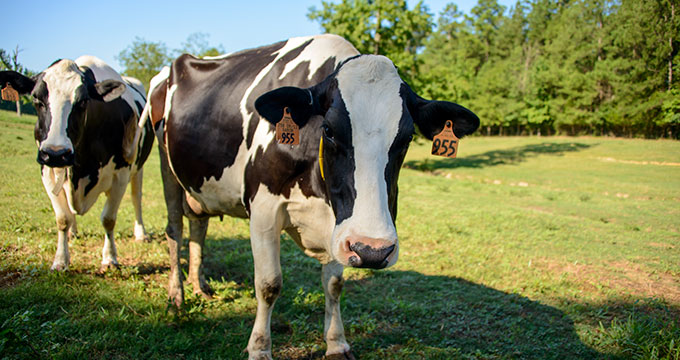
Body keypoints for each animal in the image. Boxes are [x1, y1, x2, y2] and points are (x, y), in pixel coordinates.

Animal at [0, 55, 154, 270]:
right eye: (36, 99)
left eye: (82, 102)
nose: (56, 153)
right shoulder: (46, 170)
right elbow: (62, 218)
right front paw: (60, 260)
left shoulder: (120, 175)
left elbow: (108, 219)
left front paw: (110, 258)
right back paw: (72, 232)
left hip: (138, 169)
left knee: (136, 198)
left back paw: (141, 233)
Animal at [147, 34, 478, 360]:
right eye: (328, 130)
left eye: (407, 137)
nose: (373, 251)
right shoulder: (263, 209)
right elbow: (268, 284)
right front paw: (259, 348)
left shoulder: (339, 224)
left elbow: (334, 283)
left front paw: (336, 343)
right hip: (166, 166)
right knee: (175, 229)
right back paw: (177, 295)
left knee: (199, 224)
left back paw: (199, 285)